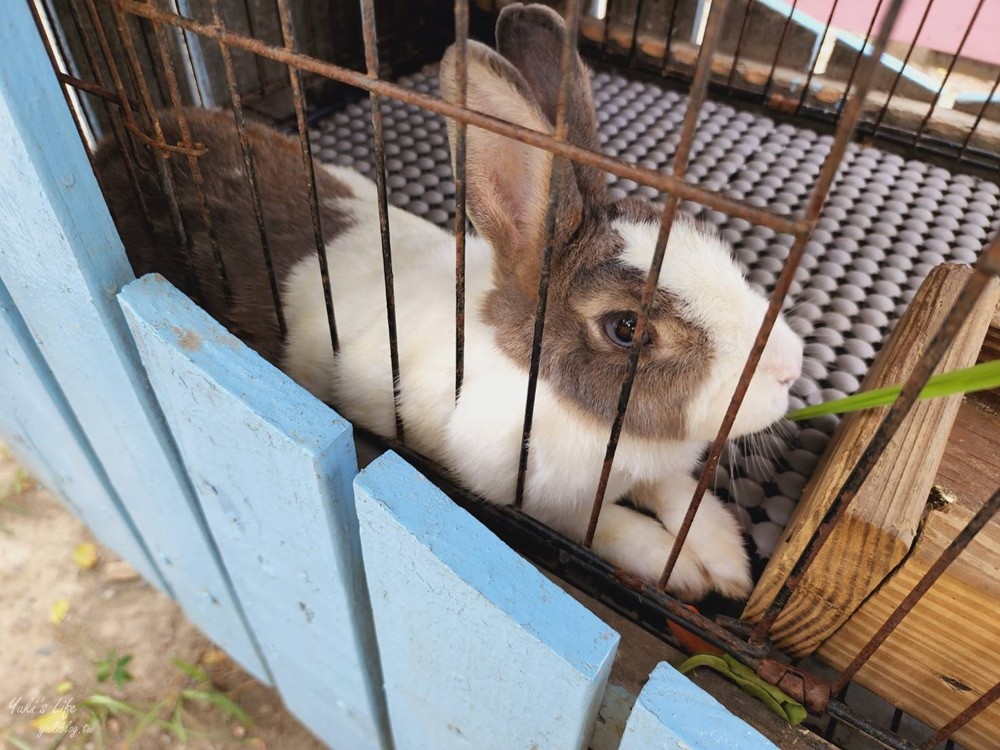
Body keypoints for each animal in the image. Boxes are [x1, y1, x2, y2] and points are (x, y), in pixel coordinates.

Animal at [95, 0, 804, 600]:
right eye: (626, 328)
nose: (791, 367)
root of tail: (125, 135)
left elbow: (675, 490)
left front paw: (725, 556)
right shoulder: (535, 501)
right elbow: (607, 528)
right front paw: (680, 568)